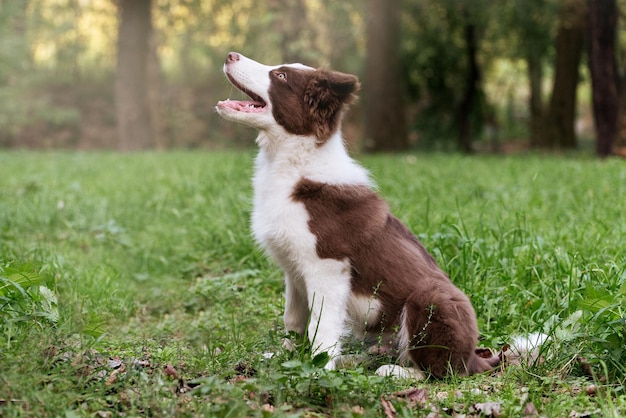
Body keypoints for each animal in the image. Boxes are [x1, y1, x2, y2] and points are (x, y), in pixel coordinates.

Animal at [213, 52, 498, 378]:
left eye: (281, 76)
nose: (230, 55)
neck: (293, 162)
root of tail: (475, 358)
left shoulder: (328, 267)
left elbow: (321, 326)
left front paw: (317, 370)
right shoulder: (294, 270)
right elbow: (293, 319)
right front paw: (286, 357)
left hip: (430, 298)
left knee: (442, 370)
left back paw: (395, 371)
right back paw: (358, 359)